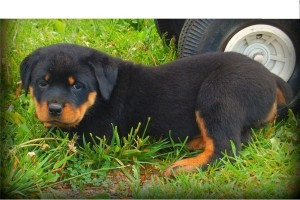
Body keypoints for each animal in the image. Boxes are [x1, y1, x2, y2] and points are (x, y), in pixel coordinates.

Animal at [19, 43, 292, 177]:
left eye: (78, 86)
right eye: (42, 83)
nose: (54, 108)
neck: (100, 98)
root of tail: (270, 77)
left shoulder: (96, 136)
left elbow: (56, 141)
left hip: (218, 92)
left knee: (227, 148)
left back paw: (184, 167)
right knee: (240, 137)